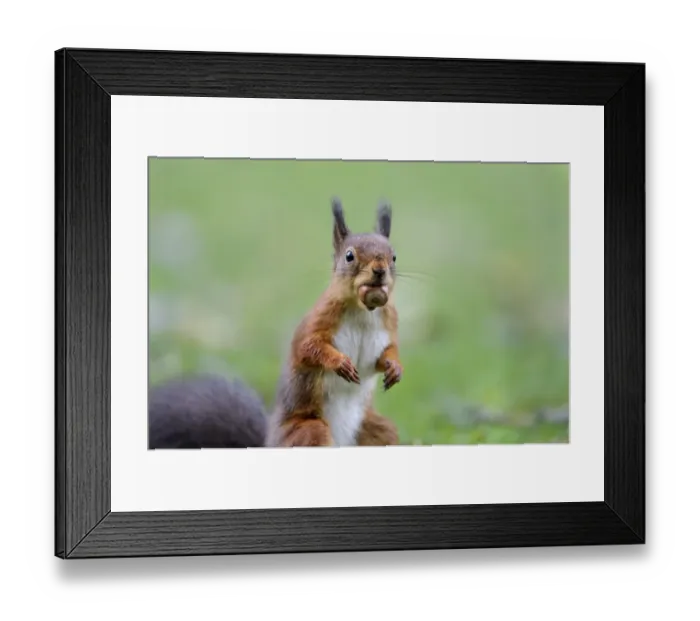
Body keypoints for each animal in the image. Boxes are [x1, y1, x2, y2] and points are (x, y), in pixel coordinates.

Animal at [148, 198, 402, 449]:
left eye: (394, 257)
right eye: (349, 256)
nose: (379, 271)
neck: (363, 311)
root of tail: (269, 443)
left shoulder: (389, 324)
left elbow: (386, 352)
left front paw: (395, 368)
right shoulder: (320, 319)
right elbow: (309, 347)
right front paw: (340, 362)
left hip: (377, 431)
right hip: (310, 432)